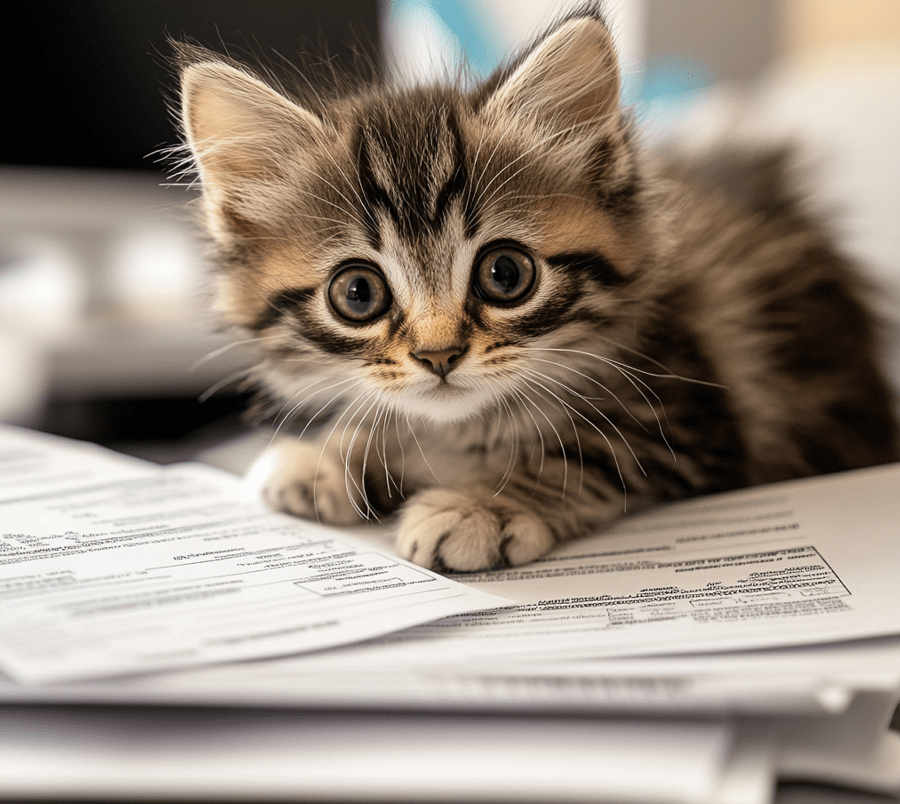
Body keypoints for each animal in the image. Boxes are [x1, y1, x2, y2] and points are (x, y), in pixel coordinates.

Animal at [178, 6, 900, 572]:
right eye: (357, 294)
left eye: (506, 274)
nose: (439, 356)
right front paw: (330, 457)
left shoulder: (692, 422)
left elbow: (581, 455)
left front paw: (483, 507)